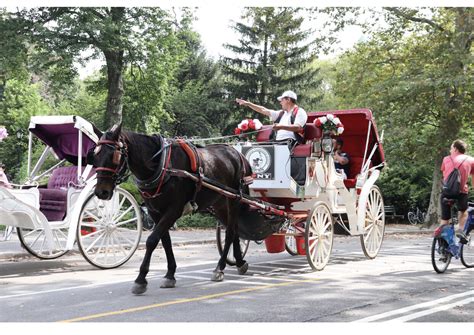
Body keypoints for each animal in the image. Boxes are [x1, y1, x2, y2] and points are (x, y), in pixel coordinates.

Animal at [89, 124, 252, 296]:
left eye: (114, 156)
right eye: (95, 155)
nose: (101, 192)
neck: (162, 166)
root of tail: (238, 154)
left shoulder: (174, 210)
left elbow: (152, 240)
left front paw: (141, 279)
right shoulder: (155, 212)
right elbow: (165, 242)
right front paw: (170, 274)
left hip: (234, 199)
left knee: (230, 233)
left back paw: (219, 268)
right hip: (219, 203)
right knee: (234, 230)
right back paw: (240, 262)